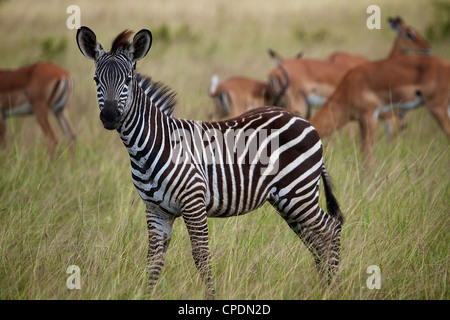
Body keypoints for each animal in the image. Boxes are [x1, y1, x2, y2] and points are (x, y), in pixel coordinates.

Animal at [77, 27, 344, 300]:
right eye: (96, 80)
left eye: (128, 80)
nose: (110, 117)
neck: (148, 148)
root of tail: (304, 121)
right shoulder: (156, 210)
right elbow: (153, 260)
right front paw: (147, 295)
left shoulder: (193, 203)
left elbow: (201, 257)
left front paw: (211, 297)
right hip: (287, 200)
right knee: (315, 239)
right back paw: (324, 286)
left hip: (298, 193)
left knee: (331, 229)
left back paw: (333, 288)